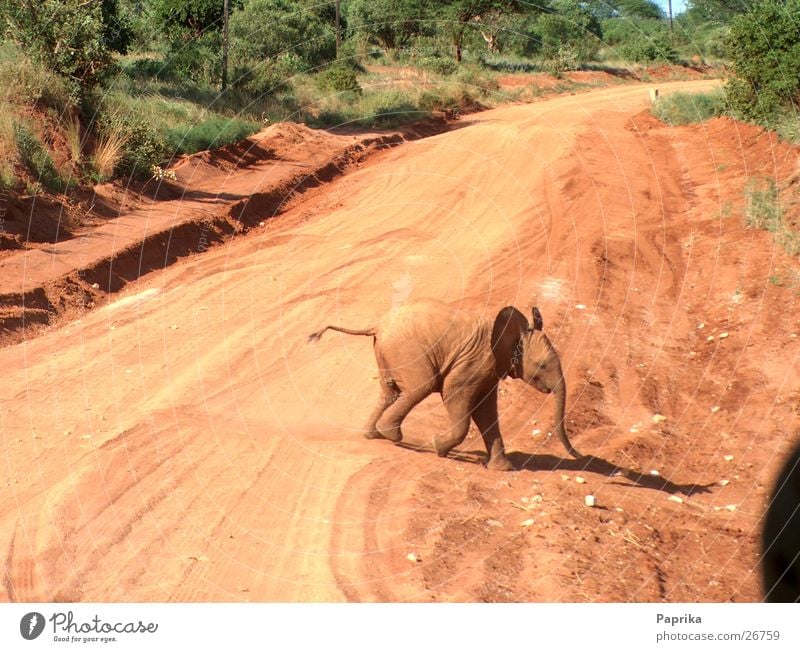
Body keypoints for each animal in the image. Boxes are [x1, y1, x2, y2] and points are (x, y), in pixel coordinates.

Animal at [308, 298, 580, 472]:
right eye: (542, 366)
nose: (580, 455)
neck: (514, 332)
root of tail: (378, 325)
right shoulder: (475, 363)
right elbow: (456, 397)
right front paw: (438, 448)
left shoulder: (487, 370)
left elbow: (486, 411)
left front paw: (503, 469)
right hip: (408, 352)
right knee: (419, 387)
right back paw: (393, 436)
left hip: (386, 352)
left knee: (389, 392)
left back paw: (373, 435)